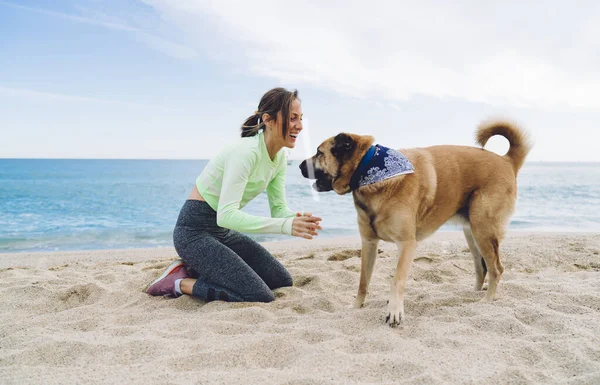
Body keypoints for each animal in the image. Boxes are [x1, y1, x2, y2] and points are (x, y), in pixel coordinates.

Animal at [298, 119, 528, 324]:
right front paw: (356, 306)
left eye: (319, 152)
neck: (370, 170)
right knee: (482, 268)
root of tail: (507, 160)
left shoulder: (407, 244)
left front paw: (394, 311)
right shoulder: (369, 243)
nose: (299, 165)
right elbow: (363, 281)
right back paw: (472, 294)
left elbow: (397, 280)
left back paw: (487, 301)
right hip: (472, 233)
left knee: (496, 268)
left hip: (483, 231)